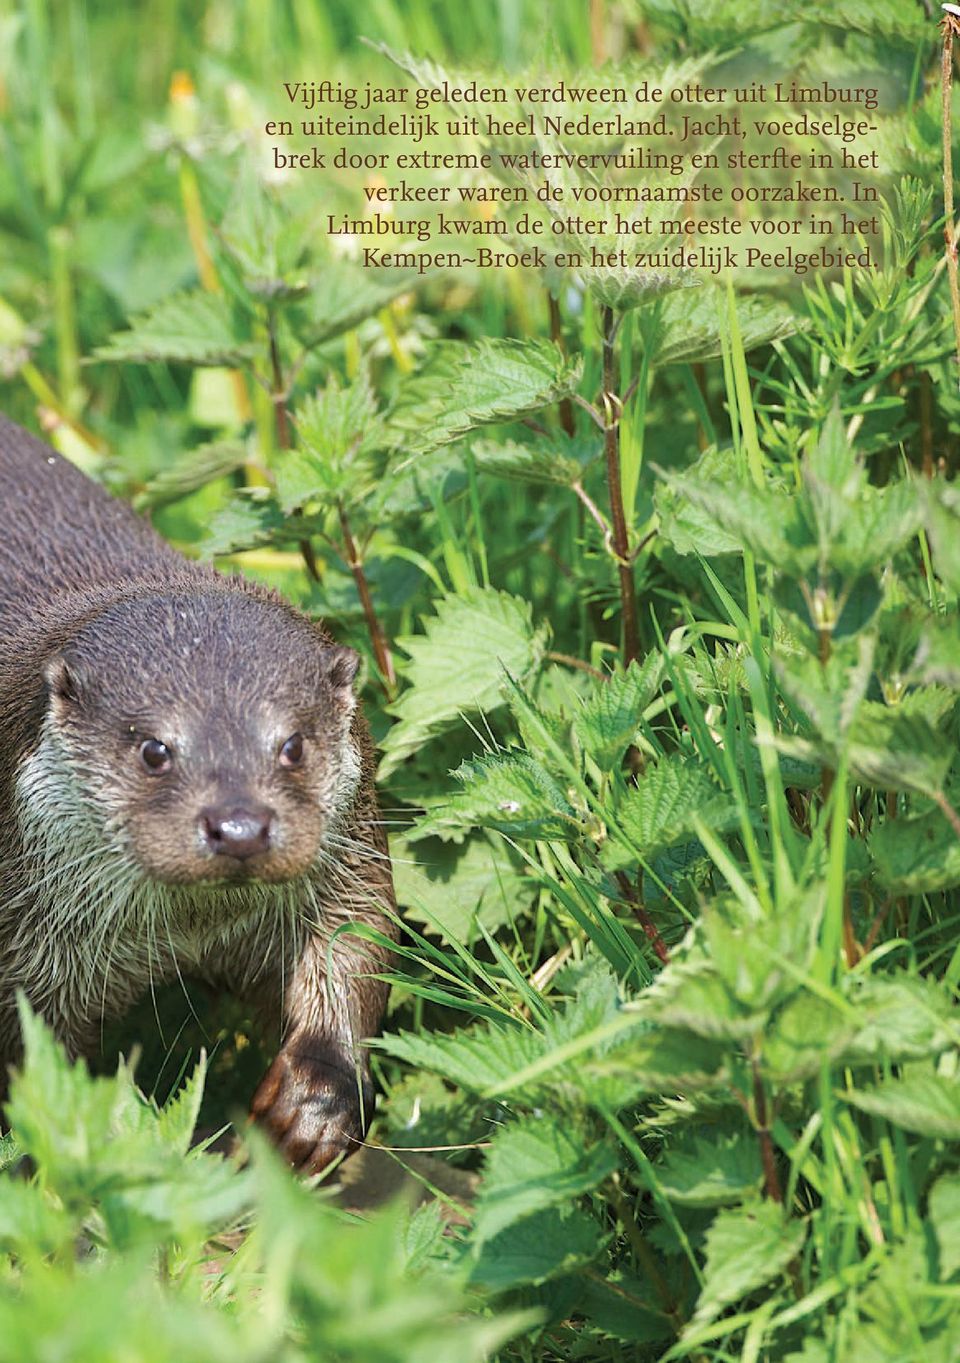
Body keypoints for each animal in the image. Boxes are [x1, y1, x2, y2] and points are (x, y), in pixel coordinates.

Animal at [0, 414, 398, 1172]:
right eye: (155, 750)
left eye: (292, 744)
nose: (239, 826)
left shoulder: (349, 862)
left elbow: (360, 947)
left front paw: (313, 1102)